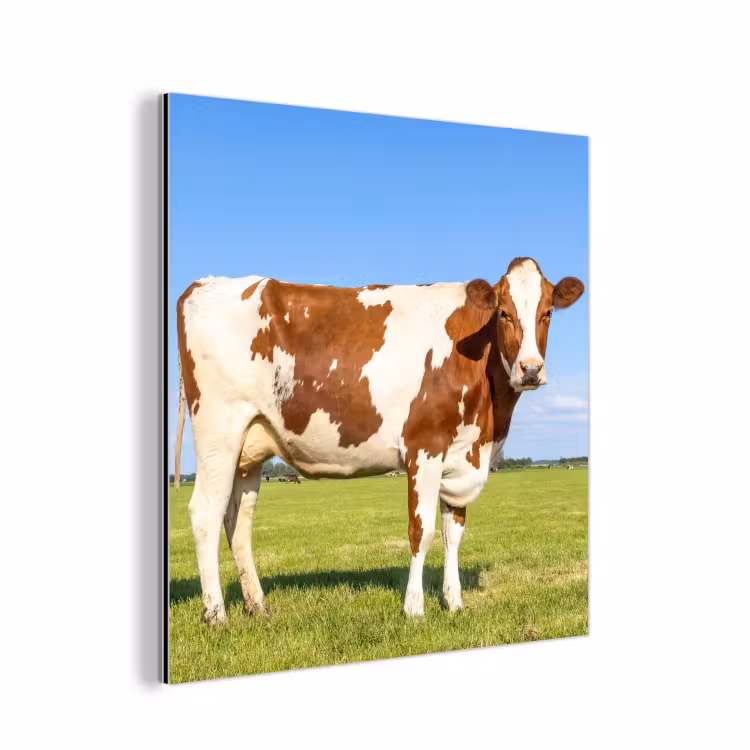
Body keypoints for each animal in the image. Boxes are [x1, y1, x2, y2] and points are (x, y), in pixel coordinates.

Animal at [175, 257, 584, 624]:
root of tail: (204, 283)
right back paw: (216, 614)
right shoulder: (424, 447)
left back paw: (258, 607)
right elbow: (422, 531)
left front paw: (454, 603)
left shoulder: (462, 455)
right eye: (504, 314)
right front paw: (414, 609)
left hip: (249, 447)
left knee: (238, 521)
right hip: (218, 432)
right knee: (206, 513)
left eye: (548, 312)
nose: (530, 369)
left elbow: (453, 533)